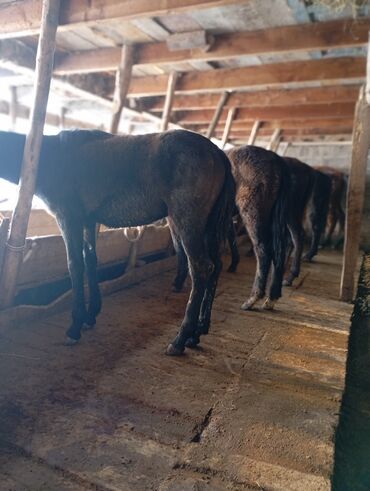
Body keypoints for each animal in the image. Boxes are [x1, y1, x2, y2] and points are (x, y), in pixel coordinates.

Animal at [0, 129, 234, 356]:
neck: (51, 156)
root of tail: (217, 152)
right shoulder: (89, 220)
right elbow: (90, 259)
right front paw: (91, 315)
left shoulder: (68, 218)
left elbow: (75, 265)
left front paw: (74, 327)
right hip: (207, 227)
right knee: (215, 267)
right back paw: (197, 332)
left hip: (188, 221)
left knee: (201, 268)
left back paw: (179, 340)